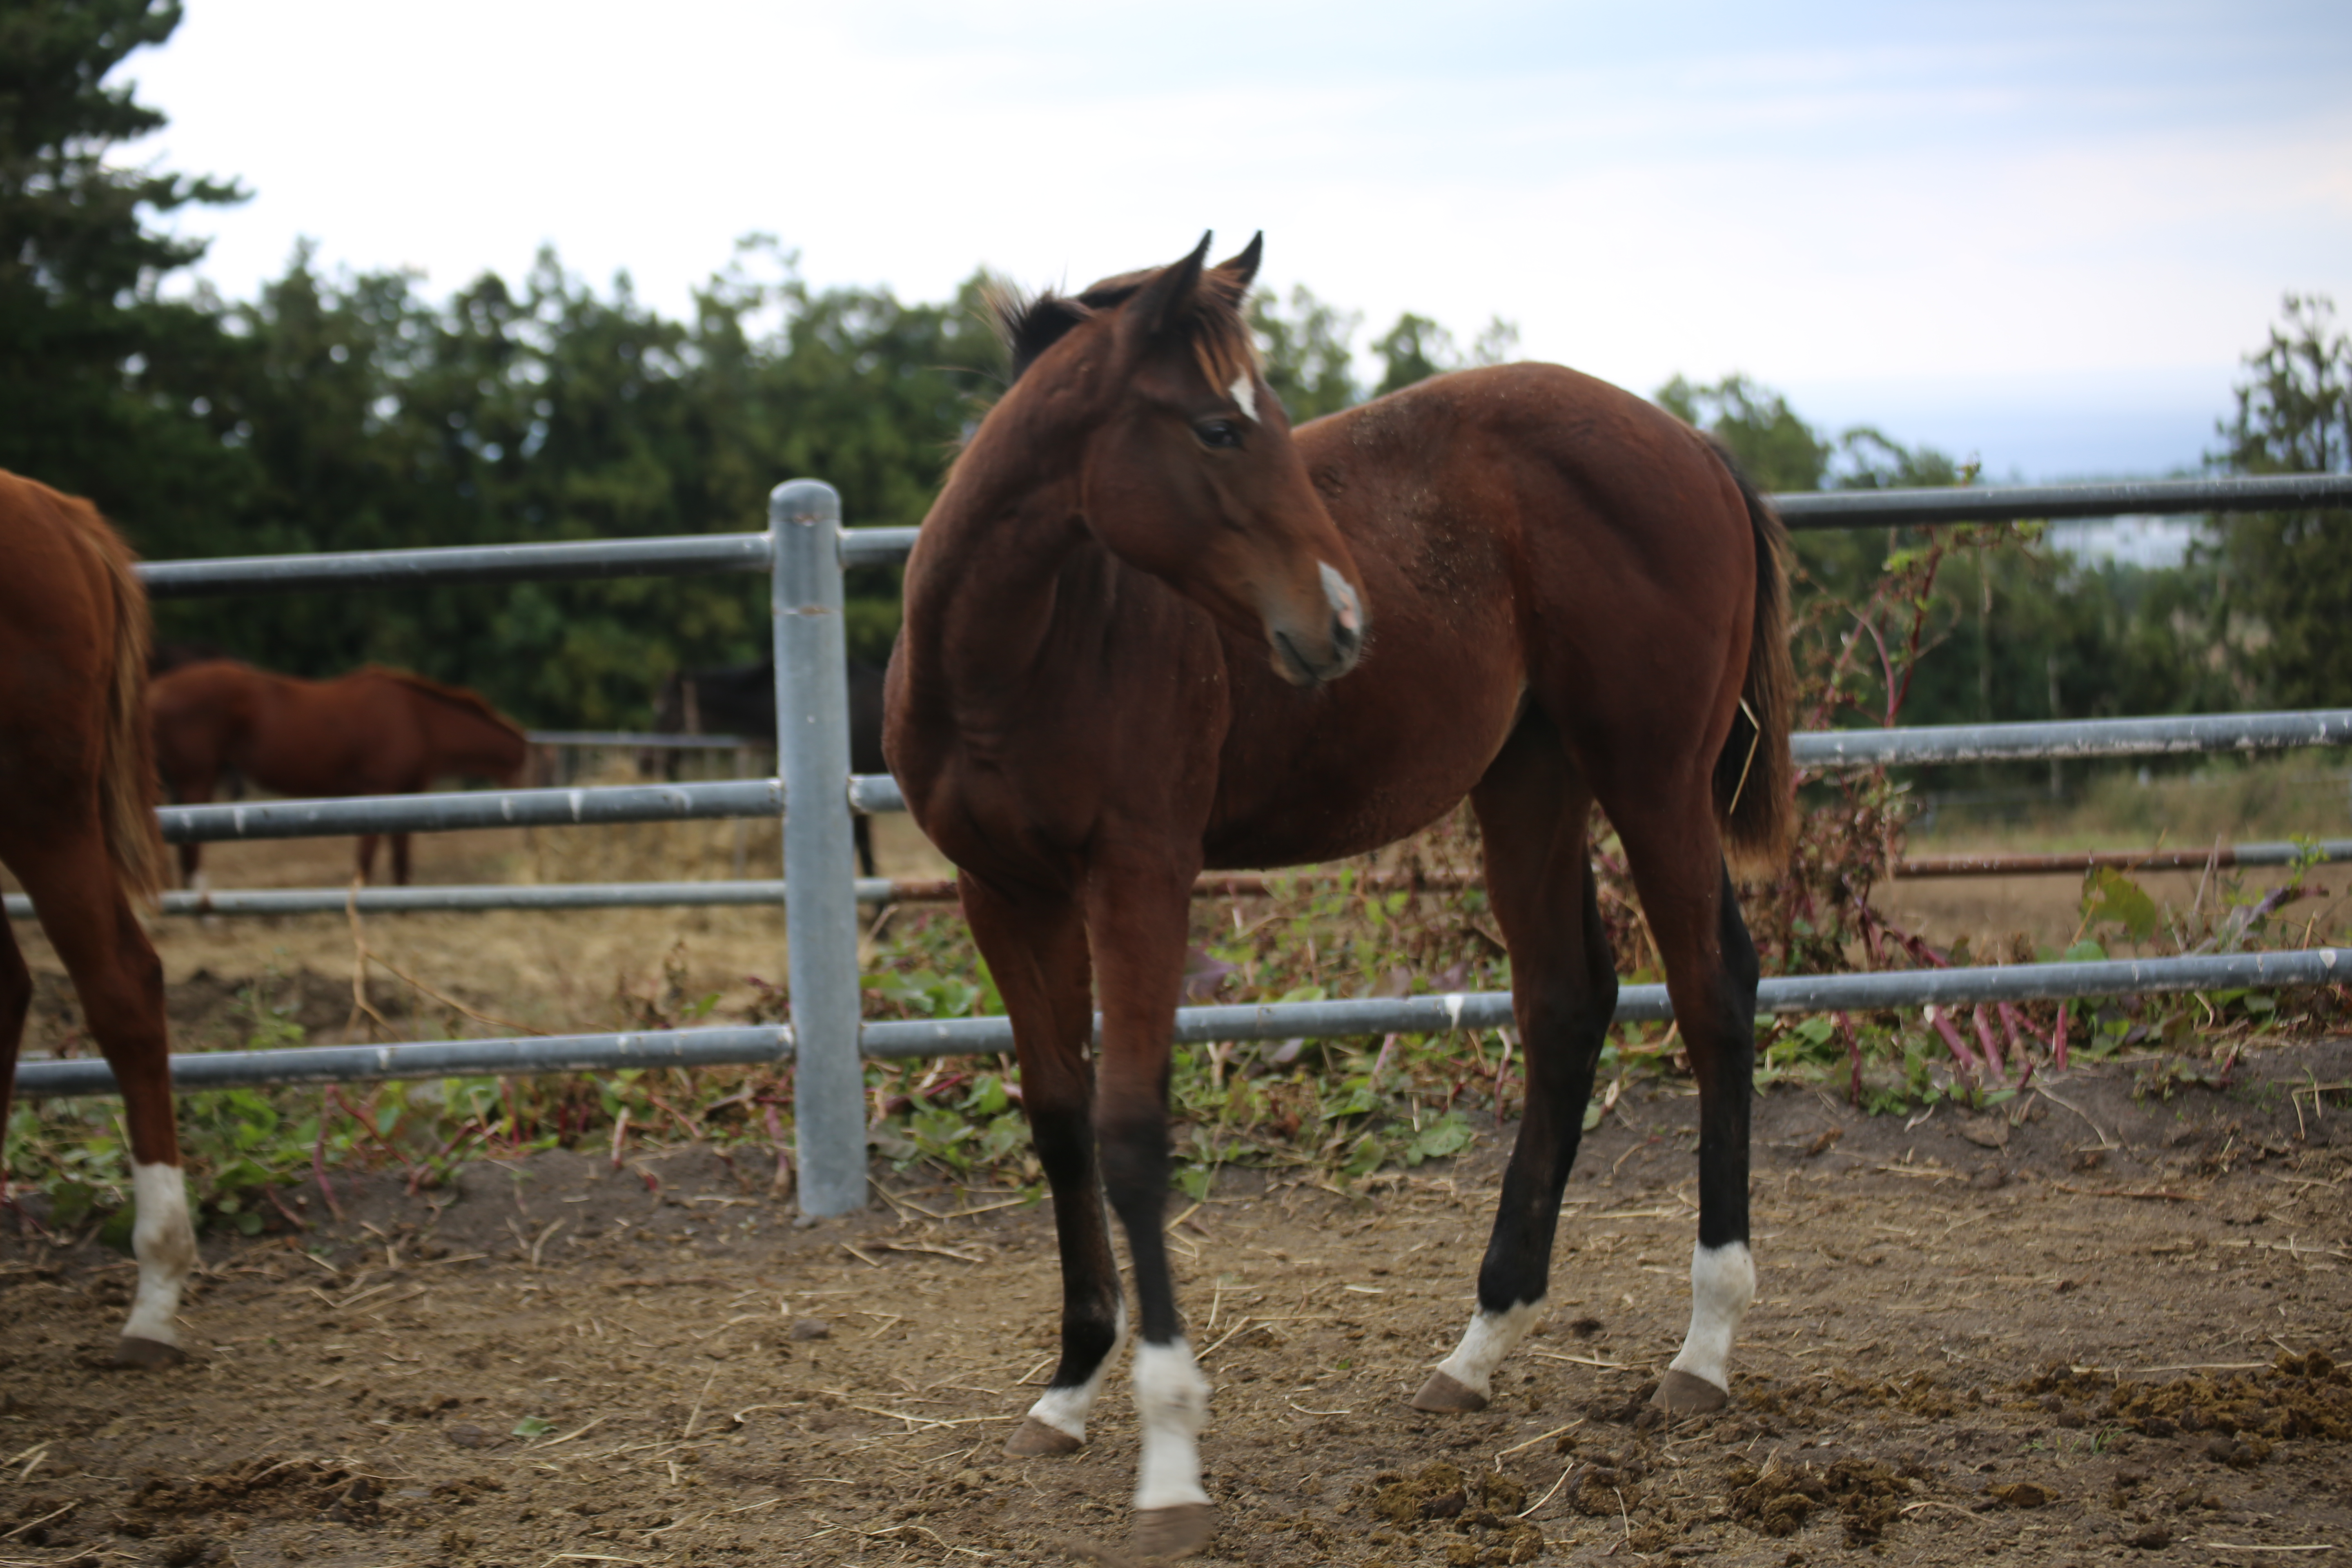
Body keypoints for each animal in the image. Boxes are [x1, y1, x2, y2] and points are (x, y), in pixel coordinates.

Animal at [151, 658, 529, 884]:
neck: (419, 720)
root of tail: (159, 689)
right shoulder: (377, 791)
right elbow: (367, 854)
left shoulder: (408, 793)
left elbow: (401, 853)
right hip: (197, 778)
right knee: (191, 844)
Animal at [884, 232, 1797, 1561]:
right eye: (1218, 427)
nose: (1340, 619)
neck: (1022, 647)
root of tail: (1692, 445)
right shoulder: (1000, 894)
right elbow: (1058, 1123)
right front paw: (1066, 1389)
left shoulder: (1141, 875)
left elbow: (1131, 1128)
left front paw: (1171, 1459)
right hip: (1530, 776)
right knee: (1566, 1002)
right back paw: (1478, 1347)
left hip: (1652, 774)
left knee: (1711, 990)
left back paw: (1704, 1346)